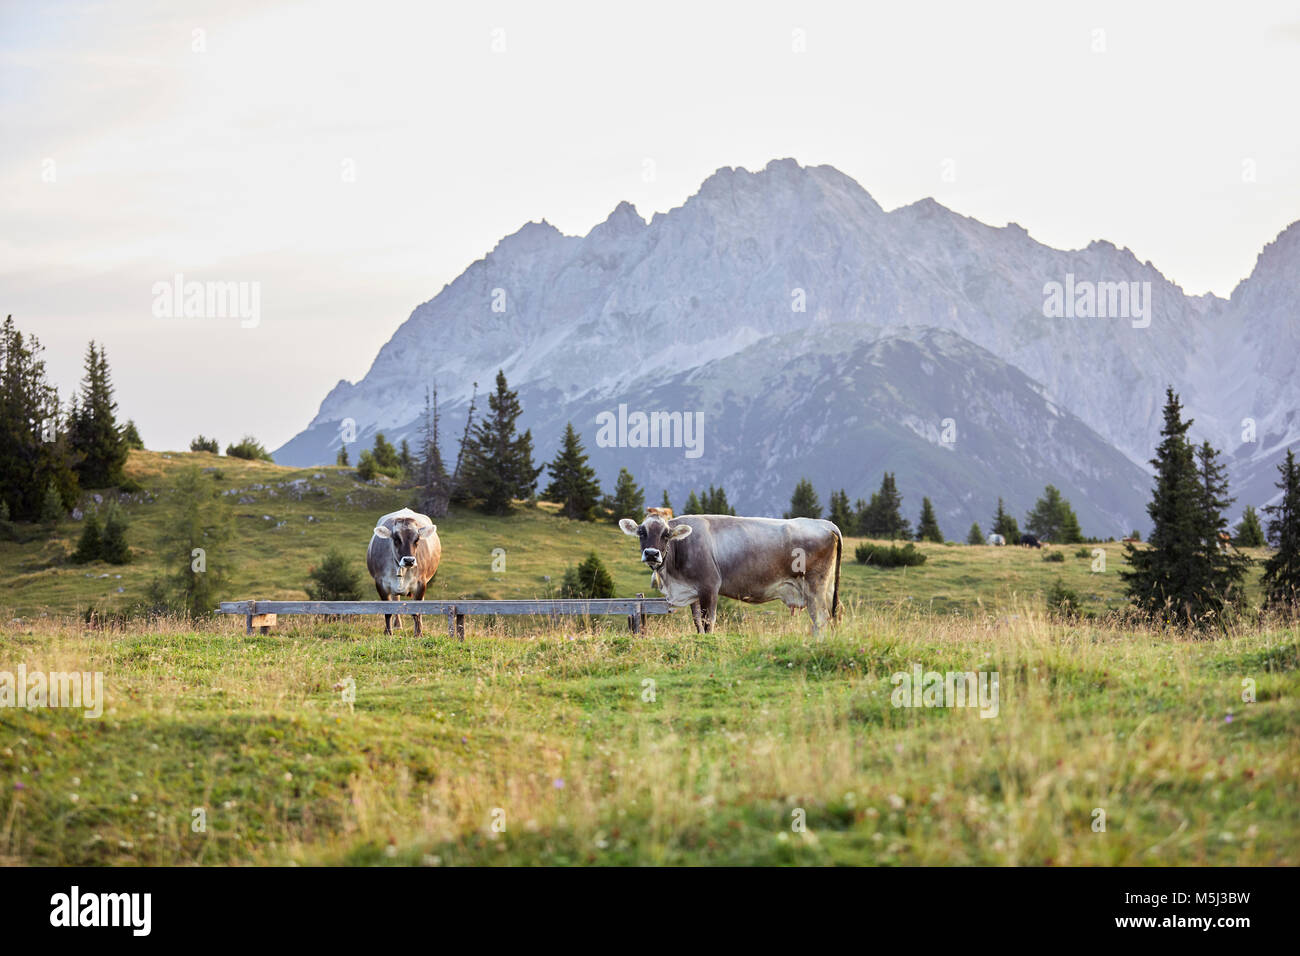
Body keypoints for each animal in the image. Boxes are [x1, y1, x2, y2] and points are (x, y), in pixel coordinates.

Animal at [618, 515, 842, 634]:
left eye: (666, 535)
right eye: (641, 532)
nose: (651, 554)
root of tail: (824, 523)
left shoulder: (709, 586)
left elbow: (708, 621)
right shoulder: (693, 591)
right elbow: (697, 622)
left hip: (814, 586)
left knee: (820, 618)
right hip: (828, 588)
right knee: (834, 614)